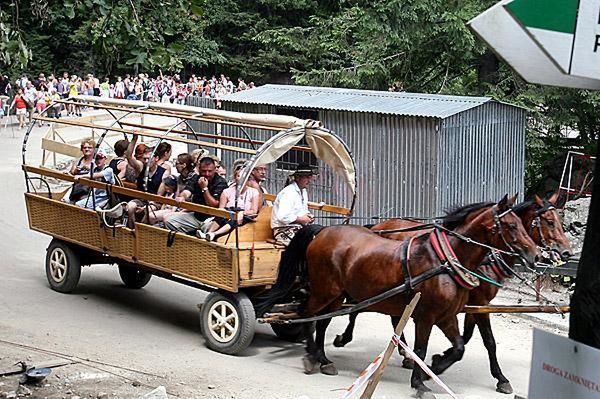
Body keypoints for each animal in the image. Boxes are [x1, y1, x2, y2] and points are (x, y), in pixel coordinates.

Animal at [284, 195, 540, 392]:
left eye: (521, 223)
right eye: (510, 226)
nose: (535, 255)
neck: (446, 260)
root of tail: (323, 231)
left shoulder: (447, 316)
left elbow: (460, 347)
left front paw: (433, 368)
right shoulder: (426, 316)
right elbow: (421, 349)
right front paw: (420, 382)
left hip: (337, 295)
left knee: (323, 322)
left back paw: (323, 359)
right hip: (324, 291)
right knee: (306, 314)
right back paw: (311, 355)